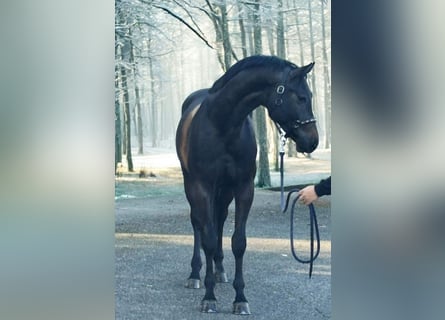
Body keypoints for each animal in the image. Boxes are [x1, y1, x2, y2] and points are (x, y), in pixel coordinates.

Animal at [175, 55, 318, 316]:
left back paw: (220, 271)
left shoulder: (243, 188)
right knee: (198, 224)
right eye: (301, 97)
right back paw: (195, 274)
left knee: (219, 220)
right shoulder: (202, 187)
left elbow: (238, 242)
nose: (312, 141)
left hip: (224, 191)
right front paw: (209, 297)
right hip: (191, 185)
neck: (222, 124)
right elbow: (208, 238)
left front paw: (240, 298)